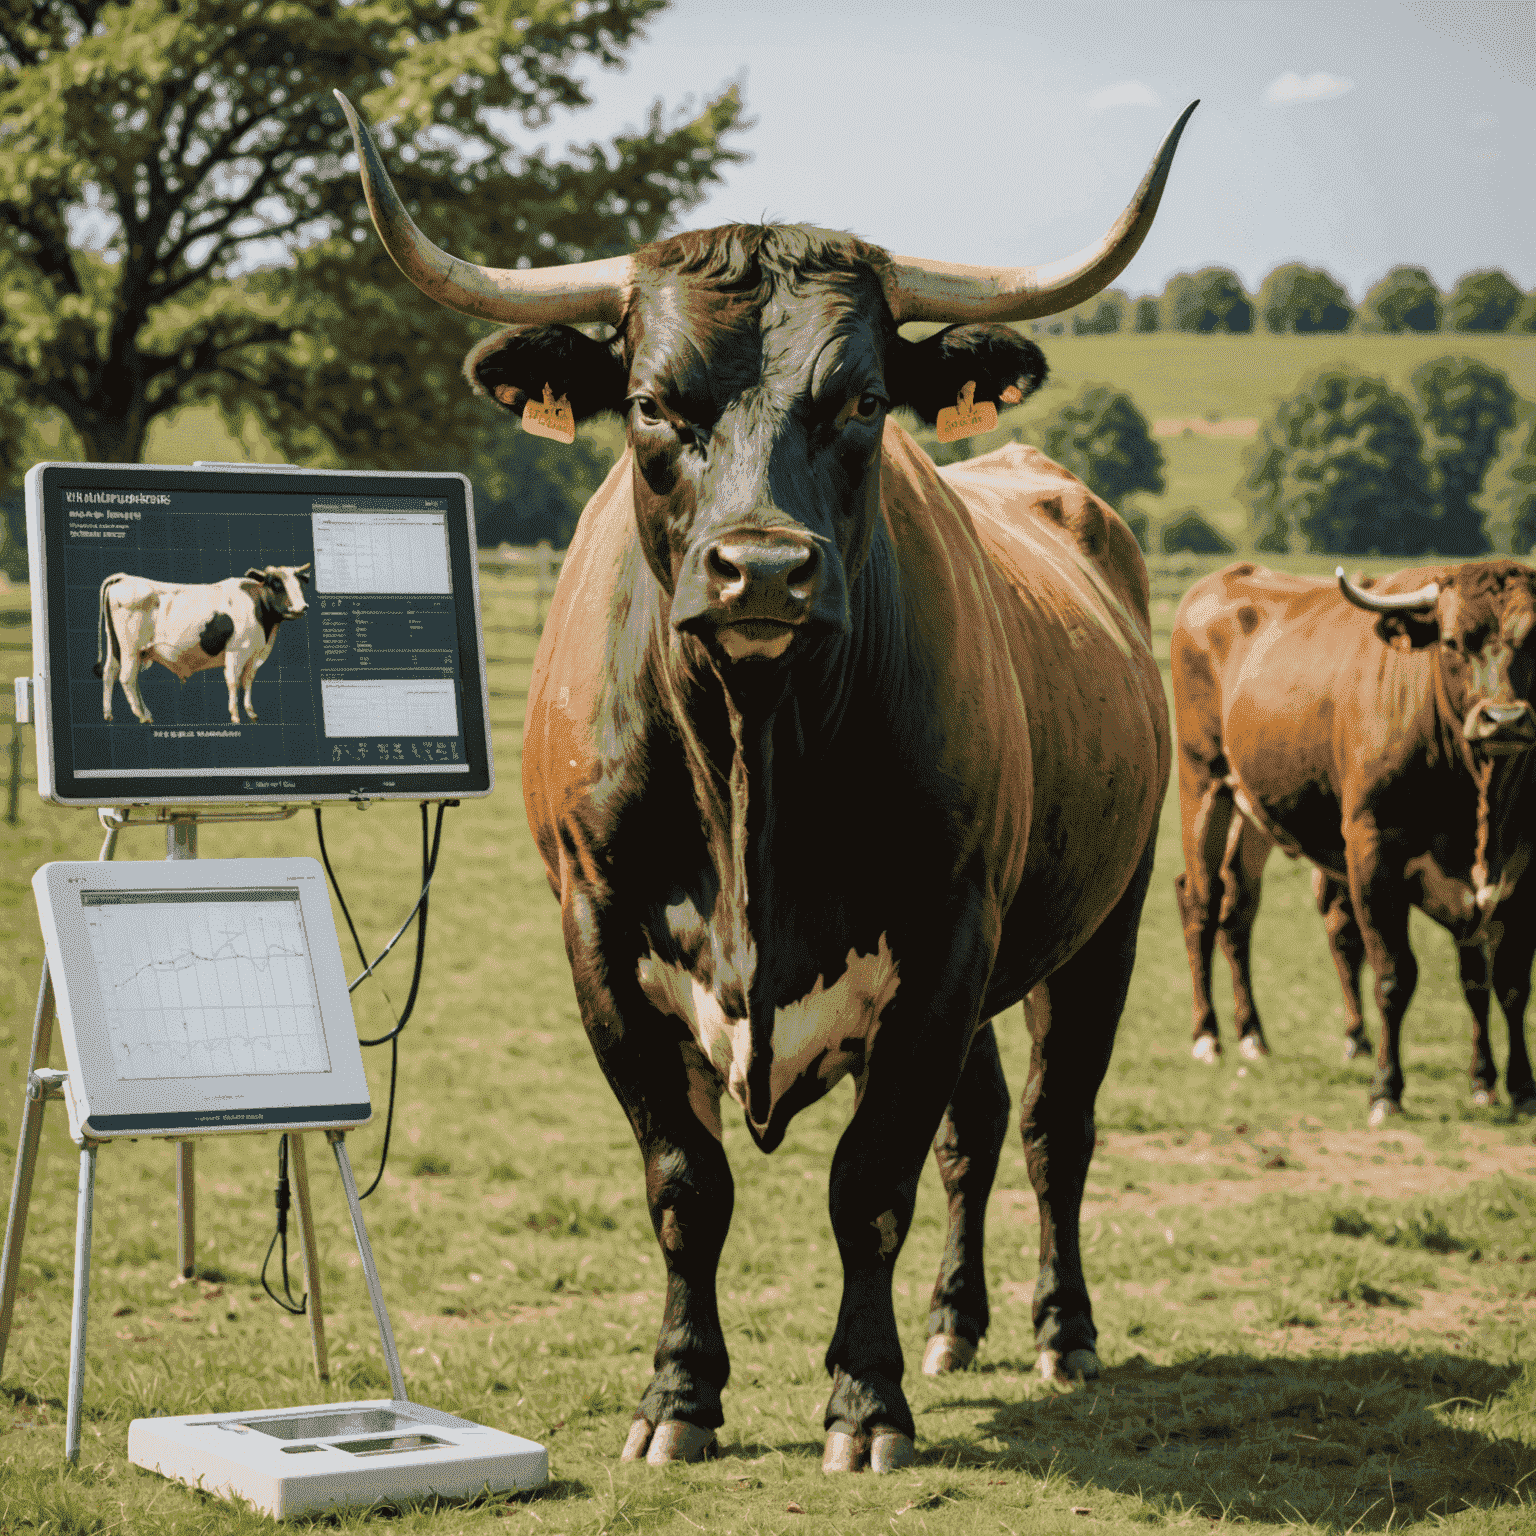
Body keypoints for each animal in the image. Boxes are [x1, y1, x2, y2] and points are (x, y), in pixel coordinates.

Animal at [1173, 559, 1536, 1124]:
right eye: (1452, 642)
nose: (1505, 720)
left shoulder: (1519, 872)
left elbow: (1503, 982)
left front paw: (1506, 1085)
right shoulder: (1372, 855)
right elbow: (1393, 975)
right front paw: (1386, 1089)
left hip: (1255, 809)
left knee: (1239, 909)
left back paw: (1252, 1034)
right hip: (1204, 782)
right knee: (1200, 903)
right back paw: (1207, 1036)